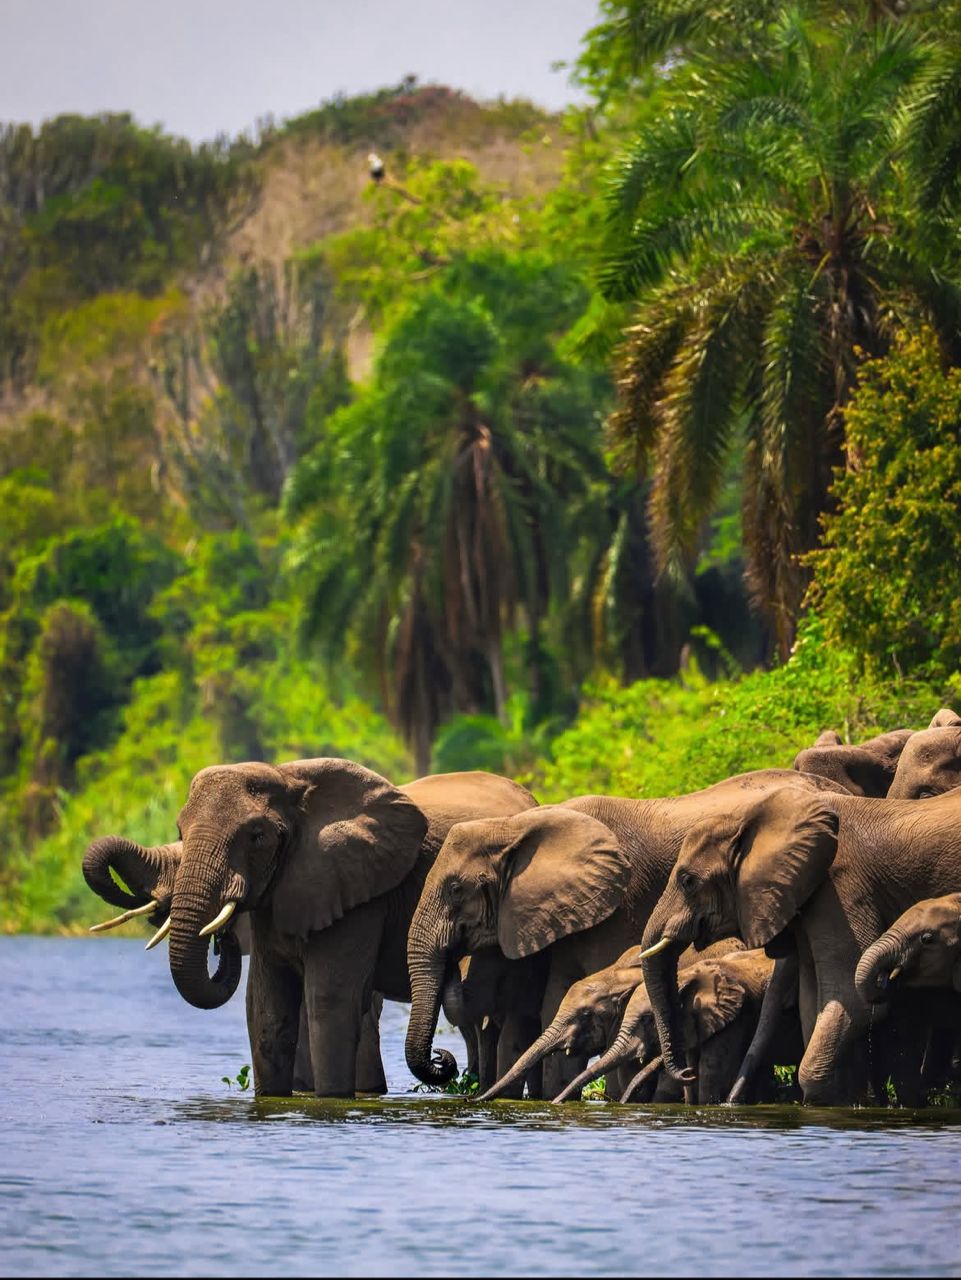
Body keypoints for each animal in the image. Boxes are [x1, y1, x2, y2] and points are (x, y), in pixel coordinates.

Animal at [83, 762, 537, 1097]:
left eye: (257, 836)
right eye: (180, 831)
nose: (219, 938)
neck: (289, 780)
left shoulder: (358, 892)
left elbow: (329, 1000)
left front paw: (333, 1099)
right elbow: (265, 1005)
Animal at [638, 783, 961, 1105]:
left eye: (687, 881)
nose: (687, 1074)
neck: (751, 816)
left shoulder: (841, 888)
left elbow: (851, 996)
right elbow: (812, 1000)